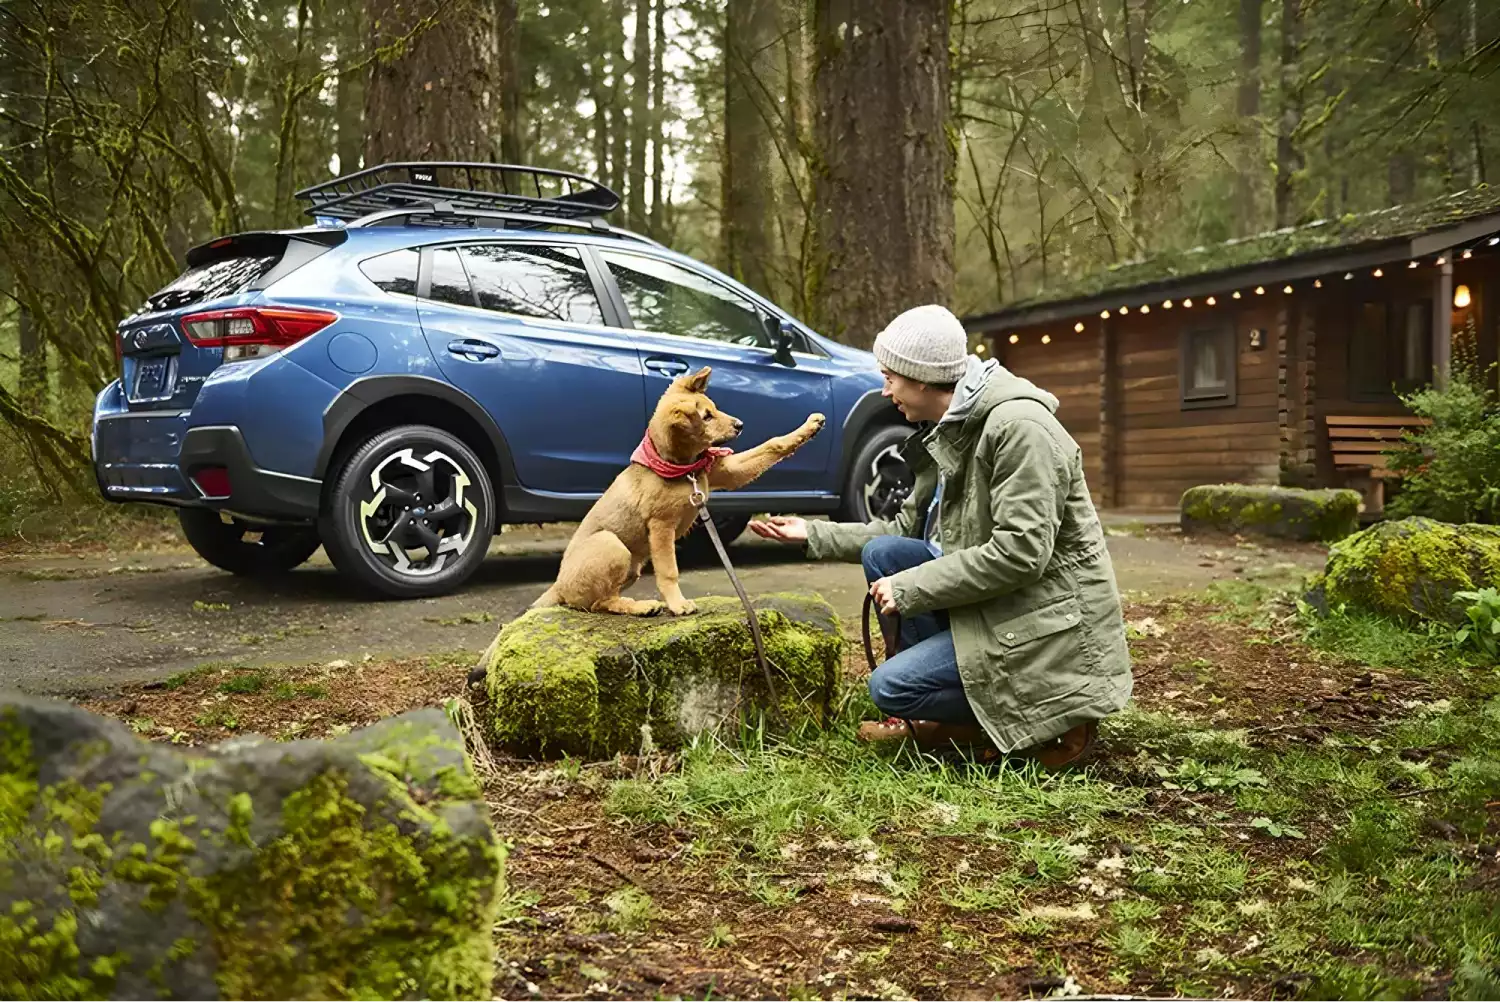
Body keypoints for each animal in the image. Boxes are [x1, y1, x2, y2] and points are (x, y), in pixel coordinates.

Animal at [534, 366, 828, 615]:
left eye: (714, 409)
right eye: (706, 417)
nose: (740, 425)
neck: (684, 468)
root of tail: (558, 586)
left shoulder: (727, 470)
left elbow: (773, 444)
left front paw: (810, 426)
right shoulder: (661, 526)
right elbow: (669, 571)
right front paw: (677, 604)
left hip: (631, 566)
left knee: (602, 600)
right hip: (611, 544)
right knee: (598, 602)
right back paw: (641, 606)